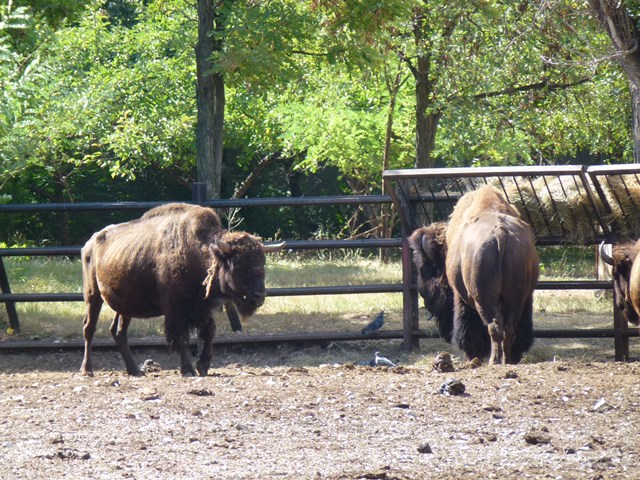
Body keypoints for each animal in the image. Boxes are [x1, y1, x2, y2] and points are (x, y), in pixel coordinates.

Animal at [80, 203, 284, 377]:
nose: (259, 296)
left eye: (262, 264)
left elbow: (209, 332)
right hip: (93, 295)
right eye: (238, 265)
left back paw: (135, 370)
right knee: (89, 327)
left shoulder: (204, 307)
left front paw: (203, 367)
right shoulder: (176, 308)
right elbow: (183, 337)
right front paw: (188, 370)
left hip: (125, 305)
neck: (199, 253)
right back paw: (87, 370)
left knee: (118, 331)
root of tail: (90, 242)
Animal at [409, 185, 539, 365]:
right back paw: (507, 360)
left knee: (494, 327)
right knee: (509, 328)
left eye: (424, 268)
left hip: (483, 299)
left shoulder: (460, 298)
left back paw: (493, 361)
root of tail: (501, 234)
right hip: (517, 297)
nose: (426, 300)